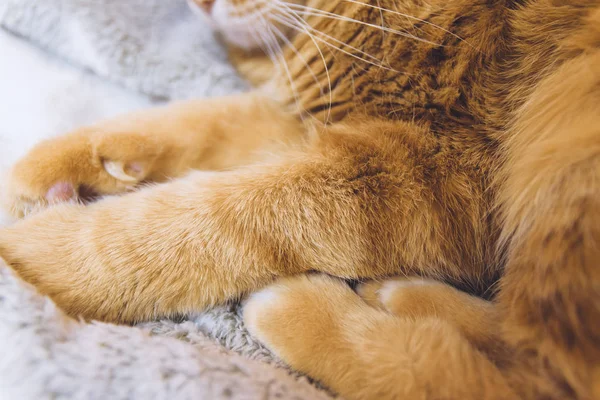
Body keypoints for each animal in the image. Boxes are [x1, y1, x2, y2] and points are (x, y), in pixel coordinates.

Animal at [1, 0, 600, 398]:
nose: (199, 4)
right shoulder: (318, 118)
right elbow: (208, 120)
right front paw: (55, 163)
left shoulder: (438, 169)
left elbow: (212, 213)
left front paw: (43, 253)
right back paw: (404, 295)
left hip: (569, 127)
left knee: (520, 378)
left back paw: (309, 309)